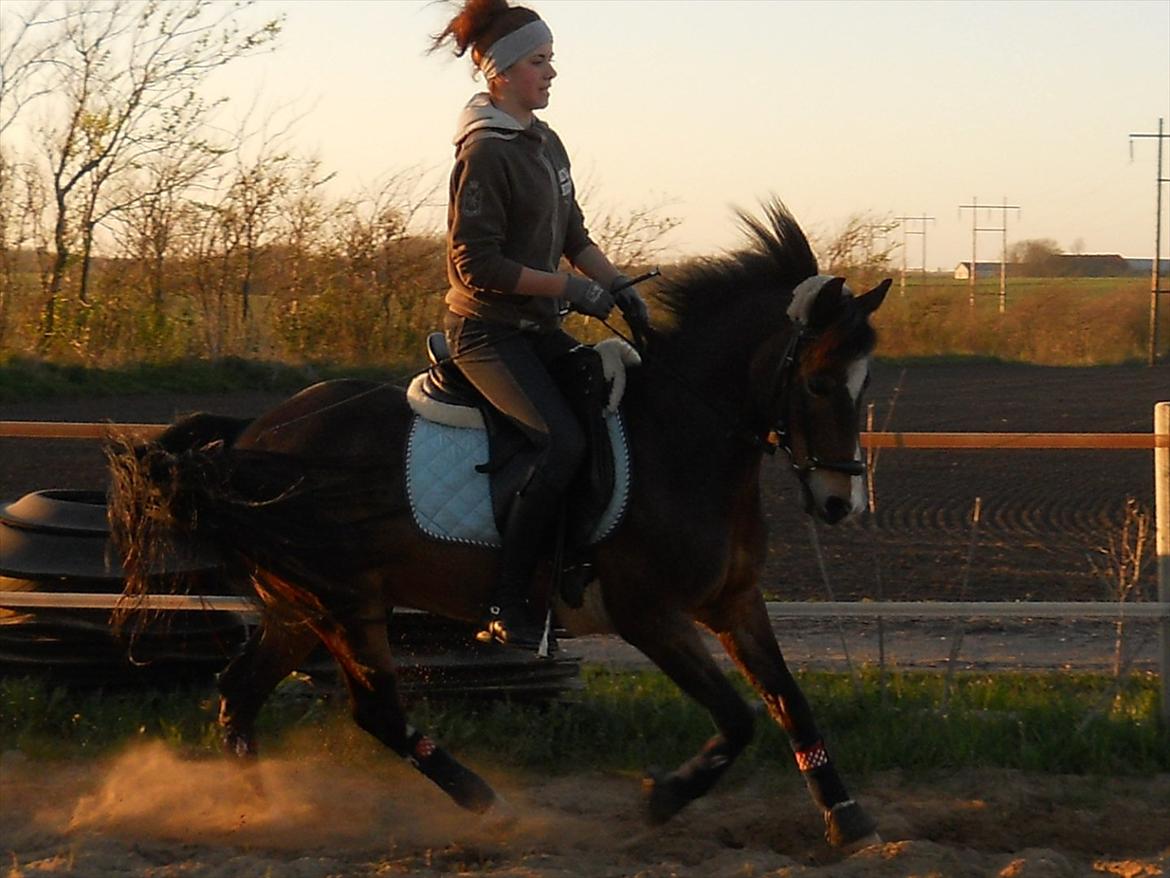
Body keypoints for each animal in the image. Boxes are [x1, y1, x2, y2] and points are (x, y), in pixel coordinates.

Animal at [111, 201, 893, 852]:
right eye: (819, 383)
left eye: (864, 386)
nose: (840, 503)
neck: (681, 439)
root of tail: (252, 435)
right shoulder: (649, 615)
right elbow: (738, 717)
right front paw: (665, 796)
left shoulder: (734, 602)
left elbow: (787, 699)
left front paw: (846, 817)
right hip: (342, 603)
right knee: (374, 711)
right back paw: (487, 804)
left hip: (296, 608)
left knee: (240, 694)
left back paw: (263, 811)